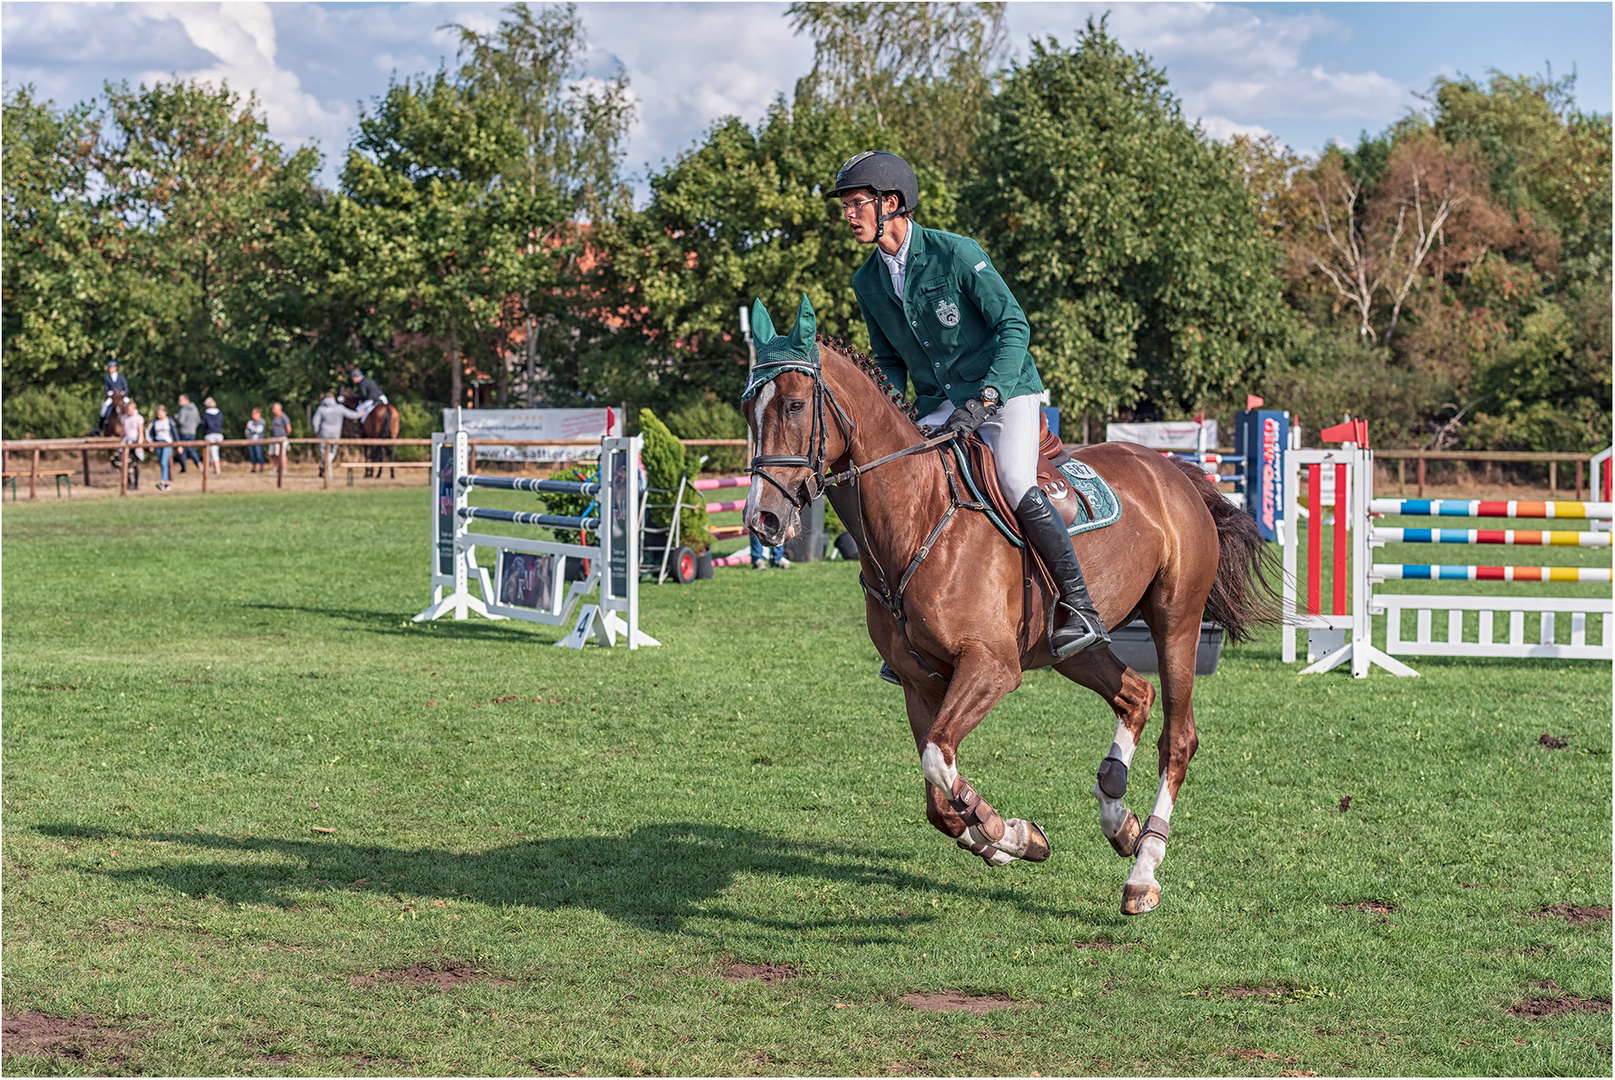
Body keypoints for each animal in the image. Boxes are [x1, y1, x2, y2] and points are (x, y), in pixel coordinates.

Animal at [742, 297, 1285, 916]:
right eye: (747, 409)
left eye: (793, 404)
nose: (762, 520)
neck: (916, 518)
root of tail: (1174, 468)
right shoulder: (918, 682)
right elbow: (937, 793)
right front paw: (1011, 839)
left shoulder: (992, 667)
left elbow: (938, 761)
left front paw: (1002, 829)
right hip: (1072, 648)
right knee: (1135, 696)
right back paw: (1117, 816)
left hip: (1177, 621)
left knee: (1178, 737)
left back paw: (1143, 869)